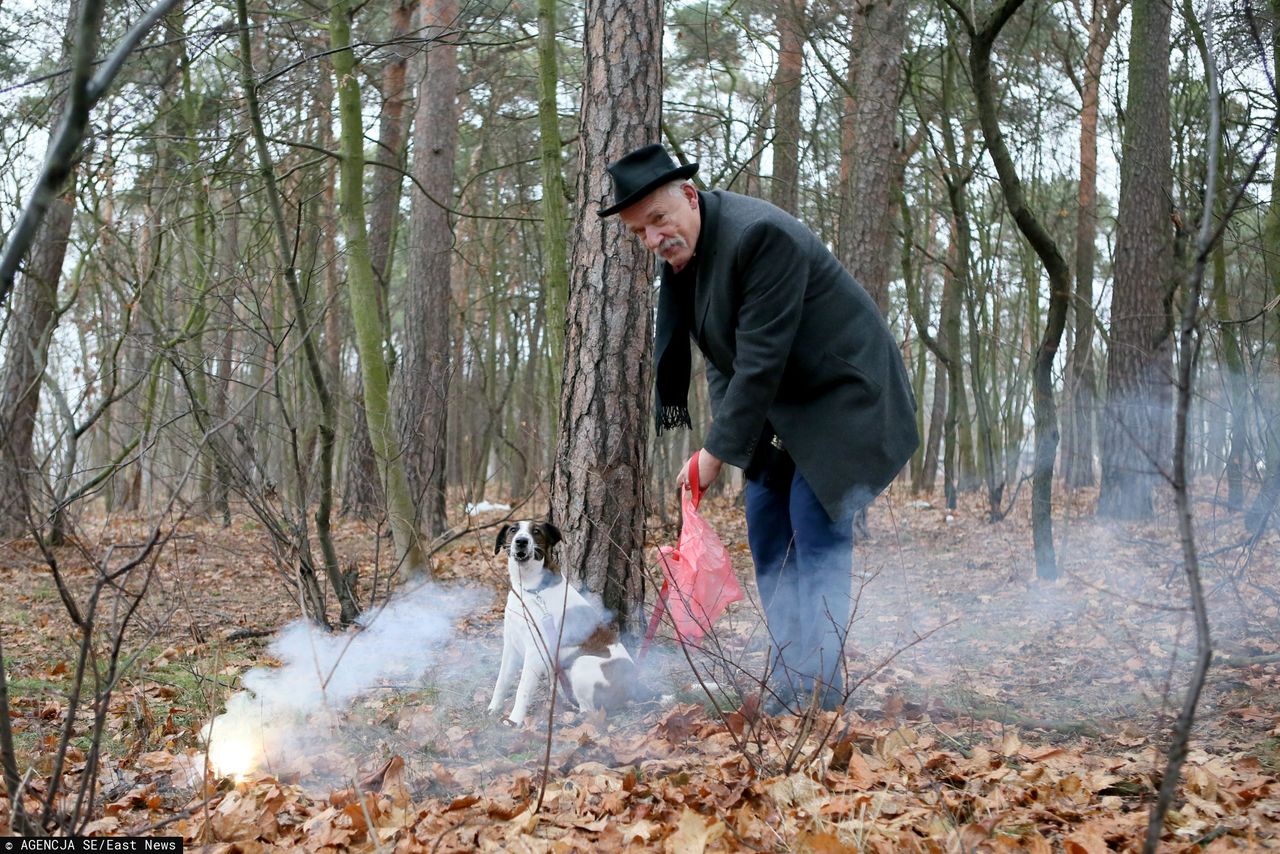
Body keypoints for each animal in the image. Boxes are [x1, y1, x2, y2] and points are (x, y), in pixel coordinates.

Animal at [486, 522, 637, 727]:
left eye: (536, 531)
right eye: (513, 530)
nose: (521, 541)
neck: (532, 589)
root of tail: (636, 685)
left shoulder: (535, 651)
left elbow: (522, 689)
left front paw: (514, 720)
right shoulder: (511, 644)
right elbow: (501, 681)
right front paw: (494, 708)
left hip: (581, 665)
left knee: (588, 711)